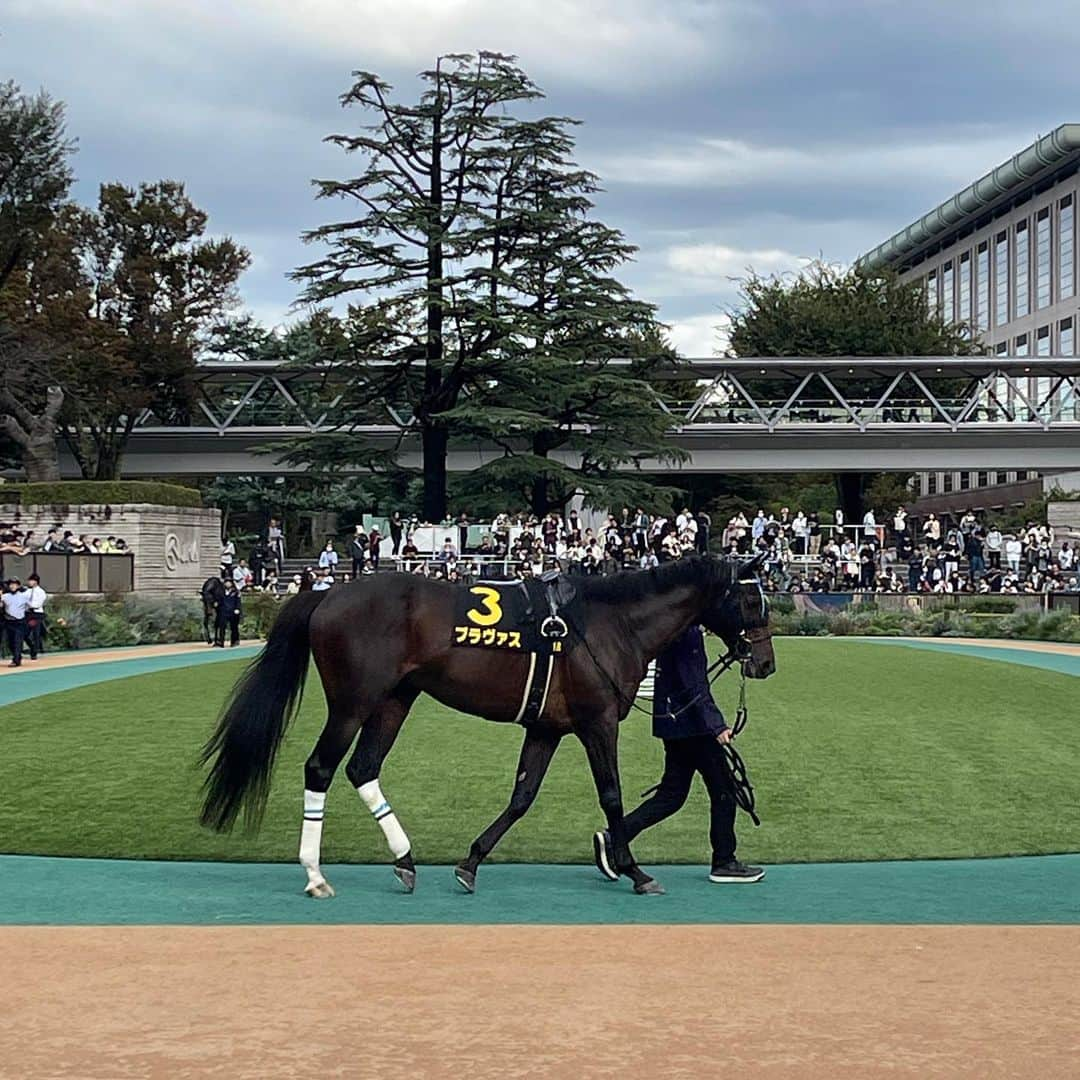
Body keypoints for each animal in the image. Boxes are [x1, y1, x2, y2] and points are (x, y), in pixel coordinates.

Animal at [200, 552, 777, 898]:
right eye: (751, 599)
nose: (766, 663)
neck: (610, 623)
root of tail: (328, 592)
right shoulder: (597, 723)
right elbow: (612, 797)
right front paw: (633, 870)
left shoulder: (546, 728)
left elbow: (522, 796)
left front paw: (471, 861)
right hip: (352, 703)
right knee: (320, 768)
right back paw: (316, 874)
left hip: (394, 701)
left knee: (363, 769)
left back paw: (406, 859)